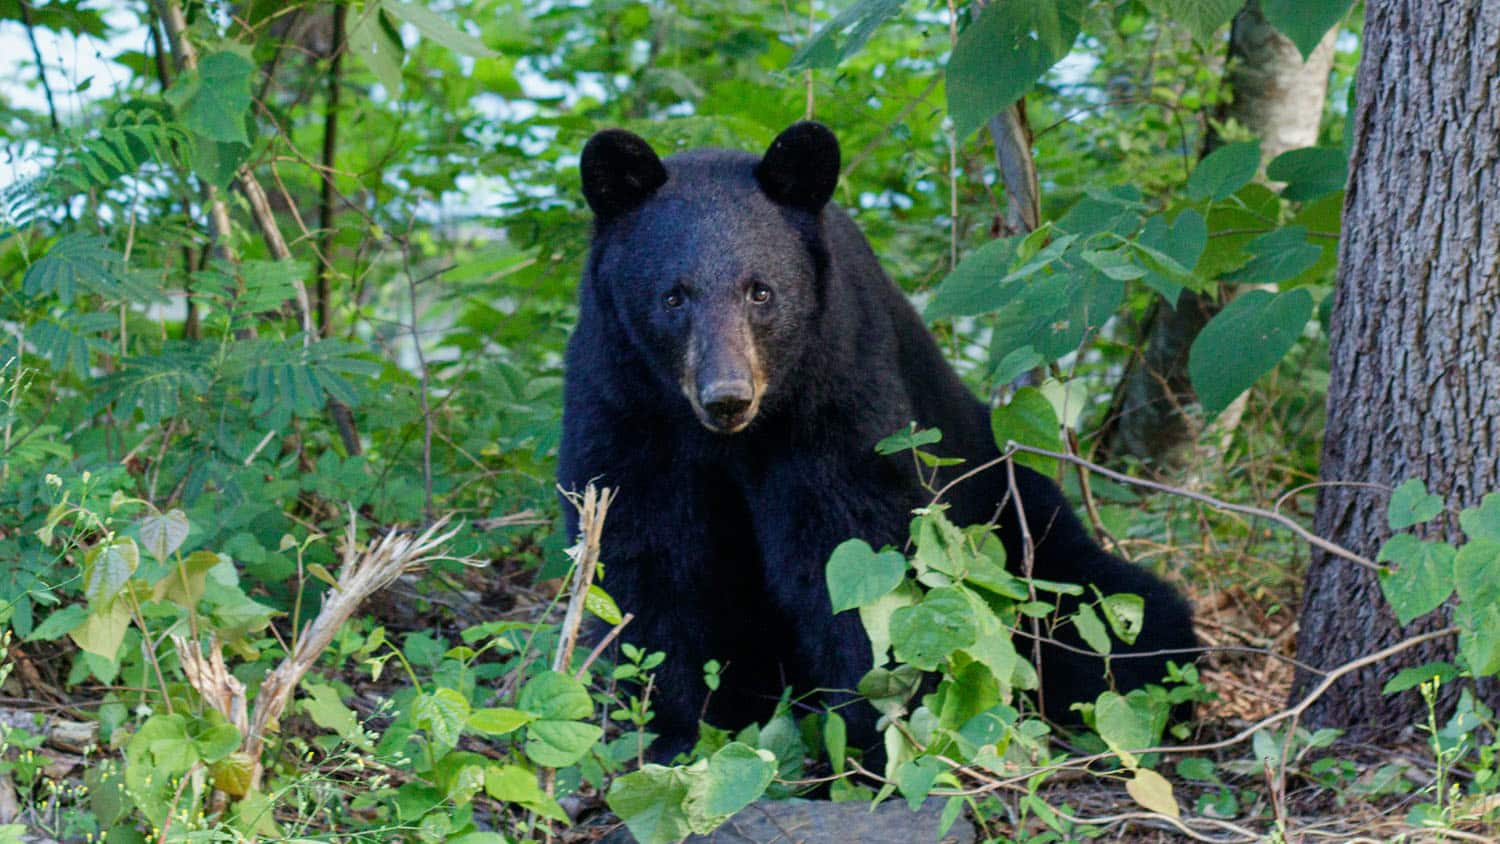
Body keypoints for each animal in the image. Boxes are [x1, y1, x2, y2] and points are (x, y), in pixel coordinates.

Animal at [558, 121, 1197, 761]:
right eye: (673, 296)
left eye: (761, 292)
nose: (728, 396)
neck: (732, 439)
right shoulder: (624, 406)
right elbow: (651, 560)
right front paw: (679, 733)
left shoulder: (837, 390)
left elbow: (852, 549)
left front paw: (870, 733)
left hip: (1024, 528)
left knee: (1115, 613)